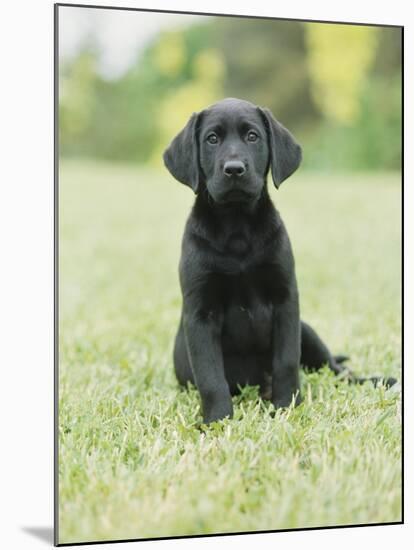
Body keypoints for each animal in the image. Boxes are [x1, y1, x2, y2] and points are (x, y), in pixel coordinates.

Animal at [162, 97, 394, 424]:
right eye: (212, 139)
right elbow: (210, 376)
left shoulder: (286, 301)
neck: (237, 229)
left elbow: (286, 361)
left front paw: (285, 407)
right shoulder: (200, 313)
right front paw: (218, 420)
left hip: (307, 331)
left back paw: (377, 380)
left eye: (252, 136)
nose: (234, 170)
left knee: (338, 371)